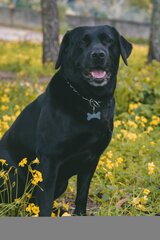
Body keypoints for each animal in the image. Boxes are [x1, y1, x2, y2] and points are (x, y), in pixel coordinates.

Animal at [0, 25, 132, 216]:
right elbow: (45, 202)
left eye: (108, 40)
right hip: (13, 174)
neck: (90, 100)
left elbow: (82, 194)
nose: (98, 54)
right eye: (82, 42)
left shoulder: (92, 159)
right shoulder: (49, 159)